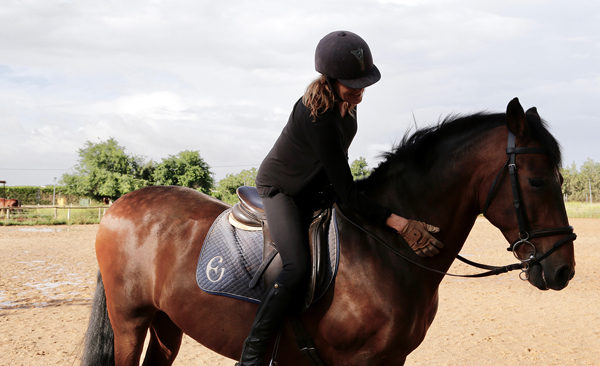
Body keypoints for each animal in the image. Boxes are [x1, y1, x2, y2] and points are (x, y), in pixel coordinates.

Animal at [83, 98, 576, 366]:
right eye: (537, 181)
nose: (562, 271)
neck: (386, 252)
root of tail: (122, 204)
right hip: (130, 321)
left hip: (167, 321)